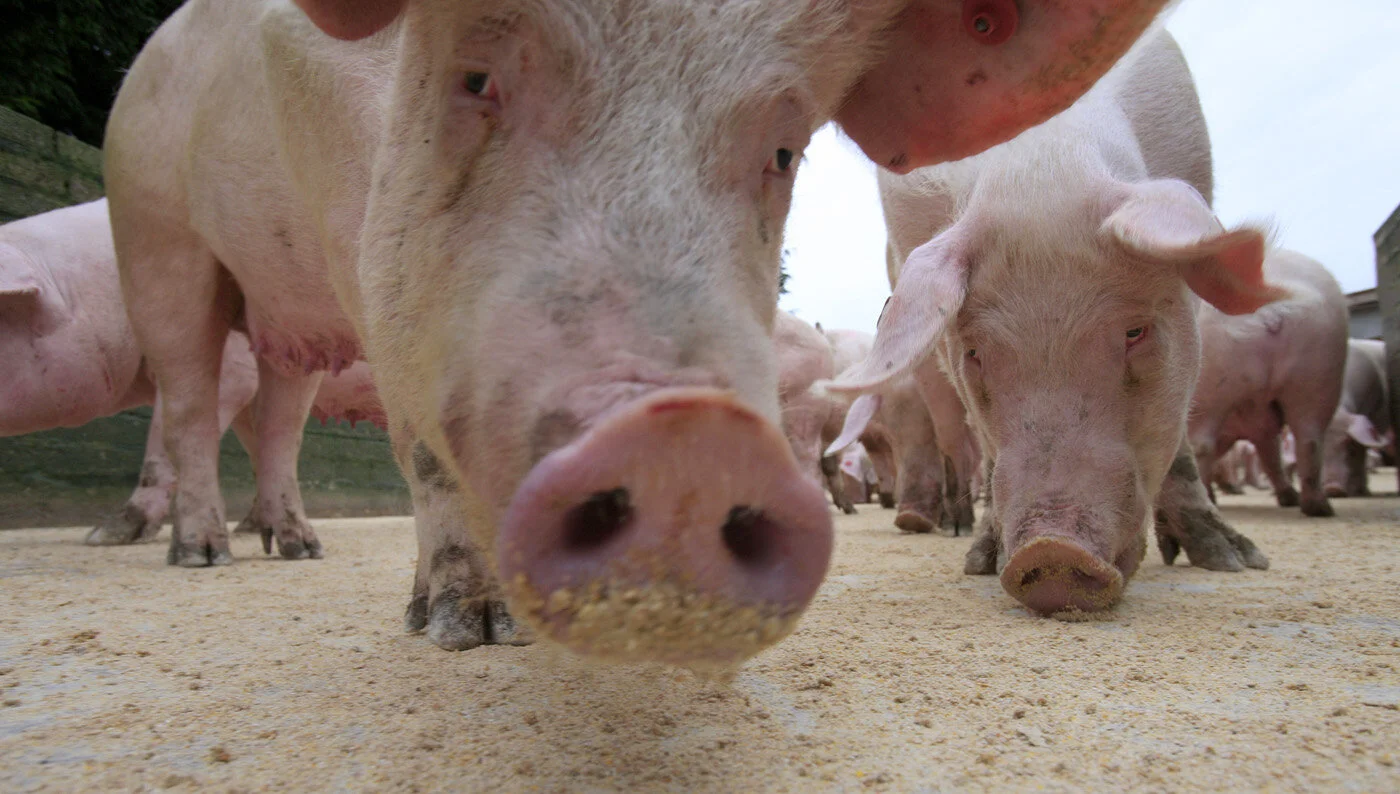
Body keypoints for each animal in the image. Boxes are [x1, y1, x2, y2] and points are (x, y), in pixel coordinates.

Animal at [105, 0, 1174, 662]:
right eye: (476, 78)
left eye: (784, 149)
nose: (684, 431)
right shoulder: (353, 204)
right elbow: (419, 414)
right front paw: (470, 630)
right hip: (152, 226)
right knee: (190, 393)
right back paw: (201, 556)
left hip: (273, 320)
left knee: (279, 412)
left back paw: (295, 548)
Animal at [827, 30, 1276, 615]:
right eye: (976, 352)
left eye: (1135, 332)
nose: (1052, 551)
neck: (1042, 161)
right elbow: (986, 442)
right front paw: (980, 562)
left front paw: (1236, 563)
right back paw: (950, 528)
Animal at [1188, 249, 1349, 517]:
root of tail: (1269, 308)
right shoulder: (1261, 422)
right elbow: (1271, 455)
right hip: (1320, 375)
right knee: (1311, 439)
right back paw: (1316, 506)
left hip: (1211, 381)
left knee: (1202, 446)